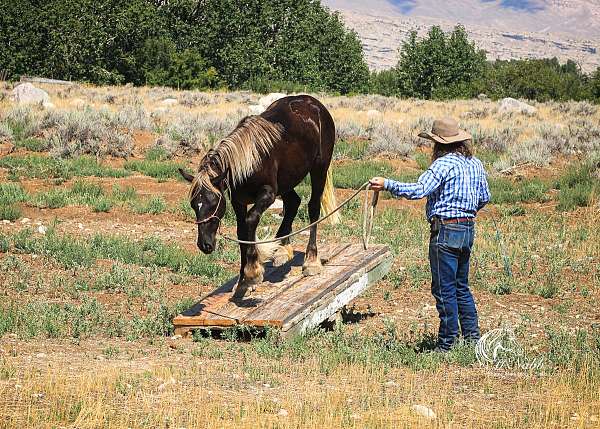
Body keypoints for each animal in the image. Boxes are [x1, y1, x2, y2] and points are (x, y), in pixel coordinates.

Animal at [178, 95, 338, 300]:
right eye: (194, 205)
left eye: (213, 203)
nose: (204, 244)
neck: (249, 160)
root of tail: (316, 104)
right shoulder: (238, 201)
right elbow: (241, 233)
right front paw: (242, 281)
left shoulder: (268, 194)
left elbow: (251, 220)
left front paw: (253, 271)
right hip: (287, 180)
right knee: (293, 203)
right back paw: (281, 248)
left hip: (319, 169)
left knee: (313, 208)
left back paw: (311, 260)